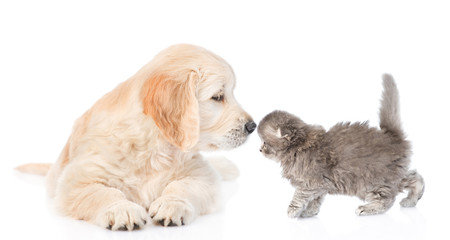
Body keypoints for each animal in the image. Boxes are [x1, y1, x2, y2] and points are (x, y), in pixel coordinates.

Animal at [16, 44, 256, 231]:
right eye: (218, 96)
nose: (252, 126)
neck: (154, 147)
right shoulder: (77, 181)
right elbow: (104, 192)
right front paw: (122, 210)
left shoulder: (201, 175)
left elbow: (183, 186)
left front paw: (172, 204)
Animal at [258, 74, 424, 218]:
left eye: (265, 142)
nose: (259, 149)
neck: (298, 147)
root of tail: (391, 135)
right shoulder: (320, 184)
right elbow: (316, 199)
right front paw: (310, 212)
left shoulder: (310, 181)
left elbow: (300, 196)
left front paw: (292, 210)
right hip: (392, 175)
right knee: (415, 178)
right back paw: (412, 199)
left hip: (371, 181)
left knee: (387, 199)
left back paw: (366, 209)